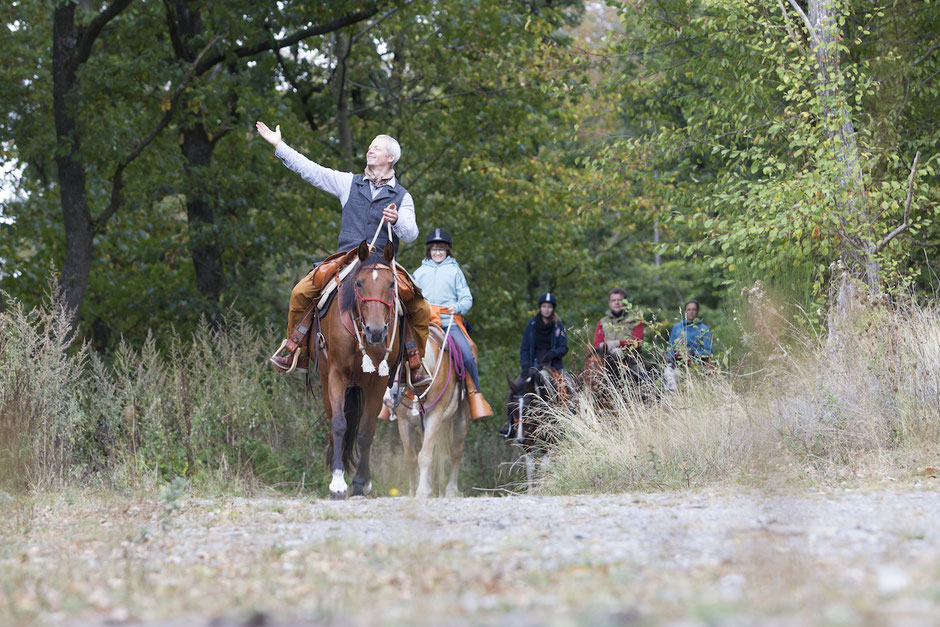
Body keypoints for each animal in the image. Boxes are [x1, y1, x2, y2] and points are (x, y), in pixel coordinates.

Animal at [314, 240, 402, 500]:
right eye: (360, 283)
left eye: (391, 284)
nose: (376, 331)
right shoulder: (336, 375)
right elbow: (339, 424)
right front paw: (337, 483)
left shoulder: (378, 382)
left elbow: (366, 432)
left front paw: (361, 483)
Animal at [392, 322, 470, 498]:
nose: (389, 398)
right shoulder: (404, 422)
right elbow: (411, 458)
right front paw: (414, 490)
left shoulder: (434, 416)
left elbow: (425, 456)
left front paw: (422, 491)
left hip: (460, 420)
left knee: (456, 452)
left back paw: (450, 490)